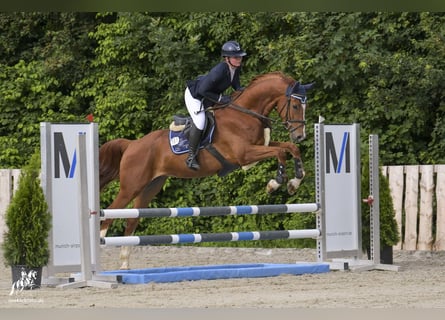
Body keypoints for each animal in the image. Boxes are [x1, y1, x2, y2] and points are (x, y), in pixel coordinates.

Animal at [99, 71, 314, 268]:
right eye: (295, 106)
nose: (300, 136)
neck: (245, 114)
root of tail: (132, 144)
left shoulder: (260, 146)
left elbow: (289, 149)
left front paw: (295, 182)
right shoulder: (245, 154)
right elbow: (280, 152)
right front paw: (275, 183)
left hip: (150, 187)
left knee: (131, 221)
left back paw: (125, 265)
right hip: (131, 187)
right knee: (109, 214)